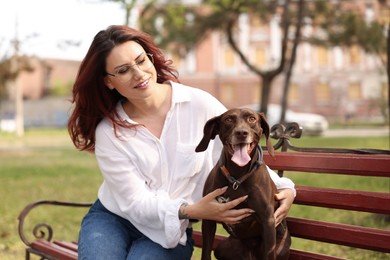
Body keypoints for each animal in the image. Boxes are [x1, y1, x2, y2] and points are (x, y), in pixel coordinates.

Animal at [195, 108, 290, 260]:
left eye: (252, 119)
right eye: (228, 119)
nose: (241, 133)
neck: (237, 177)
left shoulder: (268, 221)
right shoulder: (209, 218)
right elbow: (206, 252)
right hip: (222, 248)